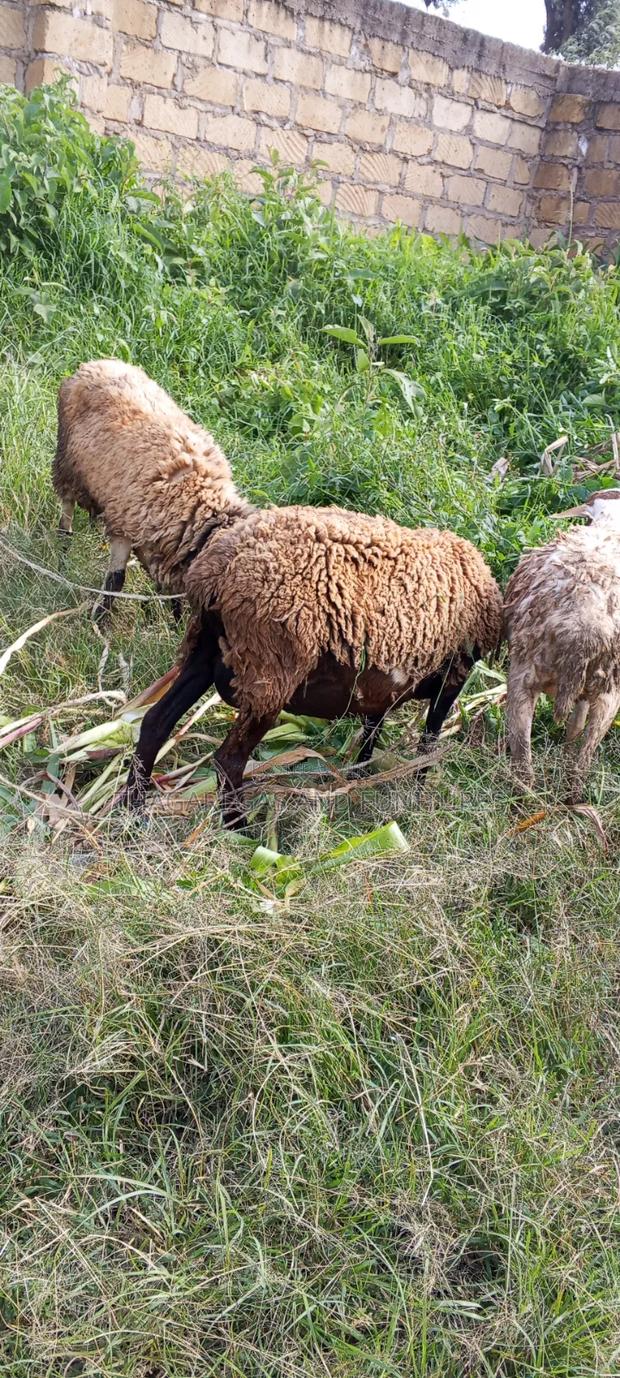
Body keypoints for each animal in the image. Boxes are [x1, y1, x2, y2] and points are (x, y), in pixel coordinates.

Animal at [52, 359, 252, 619]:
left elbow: (172, 591)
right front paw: (99, 618)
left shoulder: (166, 549)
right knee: (66, 507)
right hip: (66, 463)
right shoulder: (124, 526)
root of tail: (97, 362)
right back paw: (63, 547)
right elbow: (116, 579)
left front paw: (175, 619)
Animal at [123, 504, 503, 829]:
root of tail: (214, 574)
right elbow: (428, 740)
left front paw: (360, 777)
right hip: (269, 671)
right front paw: (419, 792)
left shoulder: (379, 681)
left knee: (155, 723)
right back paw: (240, 830)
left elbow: (373, 728)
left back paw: (131, 811)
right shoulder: (453, 675)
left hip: (204, 651)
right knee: (228, 759)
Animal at [504, 488, 620, 802]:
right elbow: (575, 727)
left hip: (530, 674)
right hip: (607, 688)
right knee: (579, 759)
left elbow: (574, 727)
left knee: (531, 762)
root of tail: (583, 632)